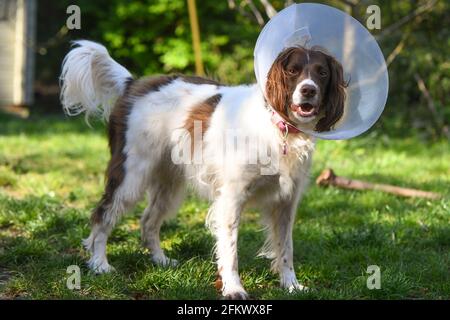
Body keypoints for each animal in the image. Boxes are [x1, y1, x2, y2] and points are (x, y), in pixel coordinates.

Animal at [59, 40, 346, 300]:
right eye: (293, 71)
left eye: (322, 73)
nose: (308, 90)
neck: (280, 129)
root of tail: (134, 83)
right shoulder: (231, 198)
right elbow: (230, 250)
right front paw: (233, 289)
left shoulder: (286, 201)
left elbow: (286, 249)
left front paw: (291, 286)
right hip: (131, 175)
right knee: (102, 215)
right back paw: (100, 264)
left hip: (169, 184)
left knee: (148, 221)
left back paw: (161, 261)